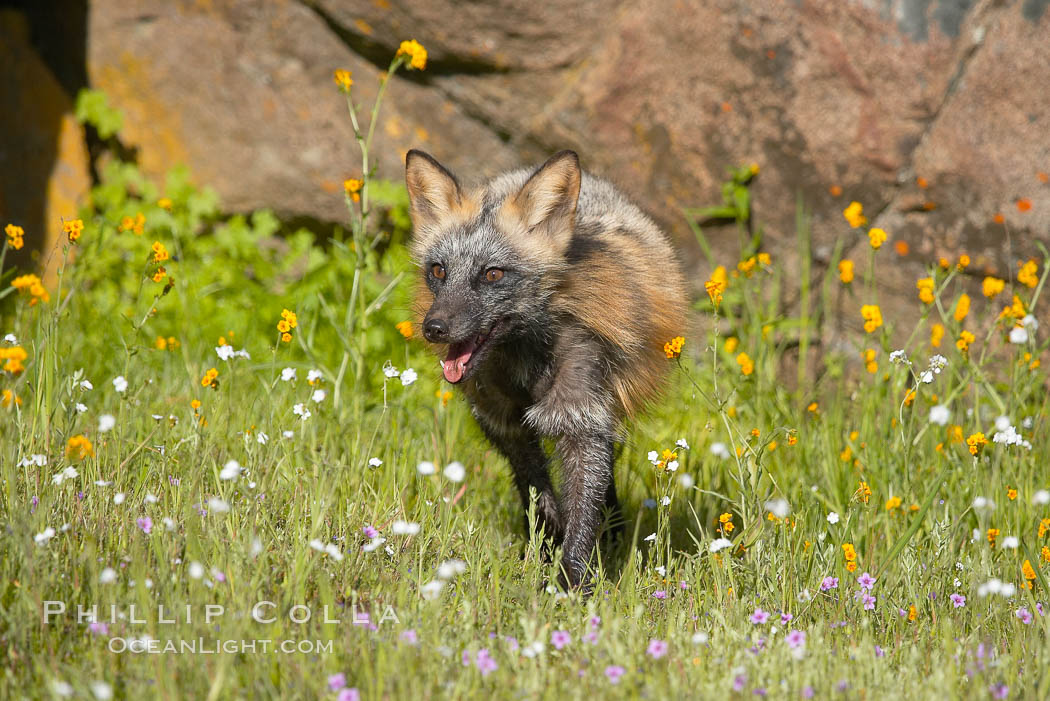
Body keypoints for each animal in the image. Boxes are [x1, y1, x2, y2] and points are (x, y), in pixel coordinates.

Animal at [401, 151, 688, 587]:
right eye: (438, 271)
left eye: (492, 274)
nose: (434, 328)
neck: (525, 371)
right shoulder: (503, 423)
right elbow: (537, 494)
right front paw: (546, 541)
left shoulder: (583, 419)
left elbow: (582, 512)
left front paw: (571, 583)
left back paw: (613, 534)